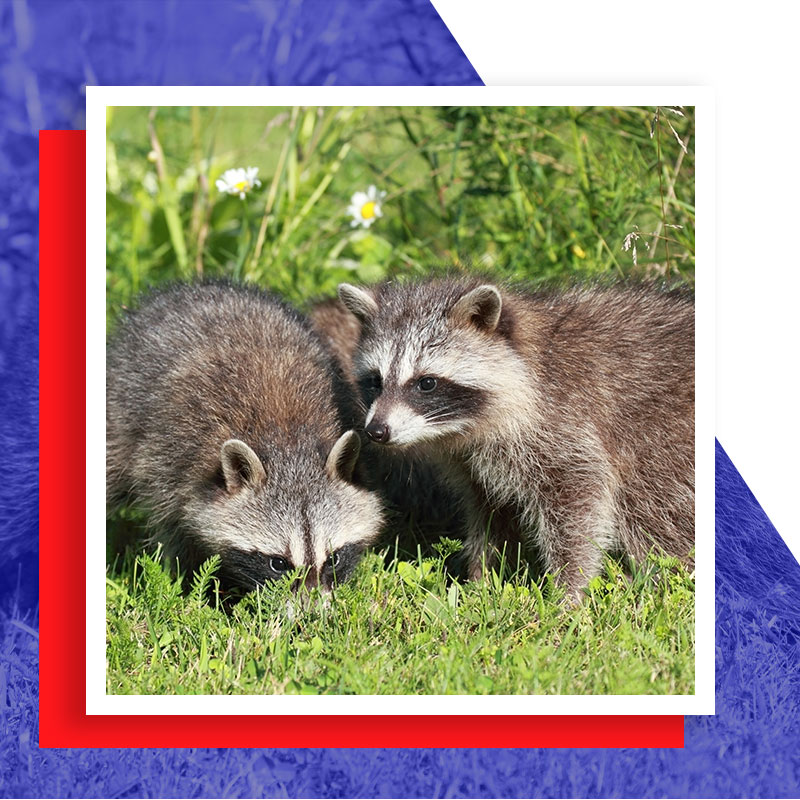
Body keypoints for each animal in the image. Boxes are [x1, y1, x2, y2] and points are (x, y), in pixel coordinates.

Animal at [106, 282, 383, 594]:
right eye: (278, 563)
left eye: (334, 559)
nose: (312, 609)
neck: (288, 442)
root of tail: (196, 288)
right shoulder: (171, 461)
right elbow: (174, 530)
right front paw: (192, 584)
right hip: (121, 404)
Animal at [338, 276, 694, 600]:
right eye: (375, 380)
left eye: (426, 383)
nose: (376, 431)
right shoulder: (476, 464)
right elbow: (489, 513)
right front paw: (481, 580)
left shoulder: (564, 424)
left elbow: (581, 504)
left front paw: (569, 589)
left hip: (662, 437)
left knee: (654, 510)